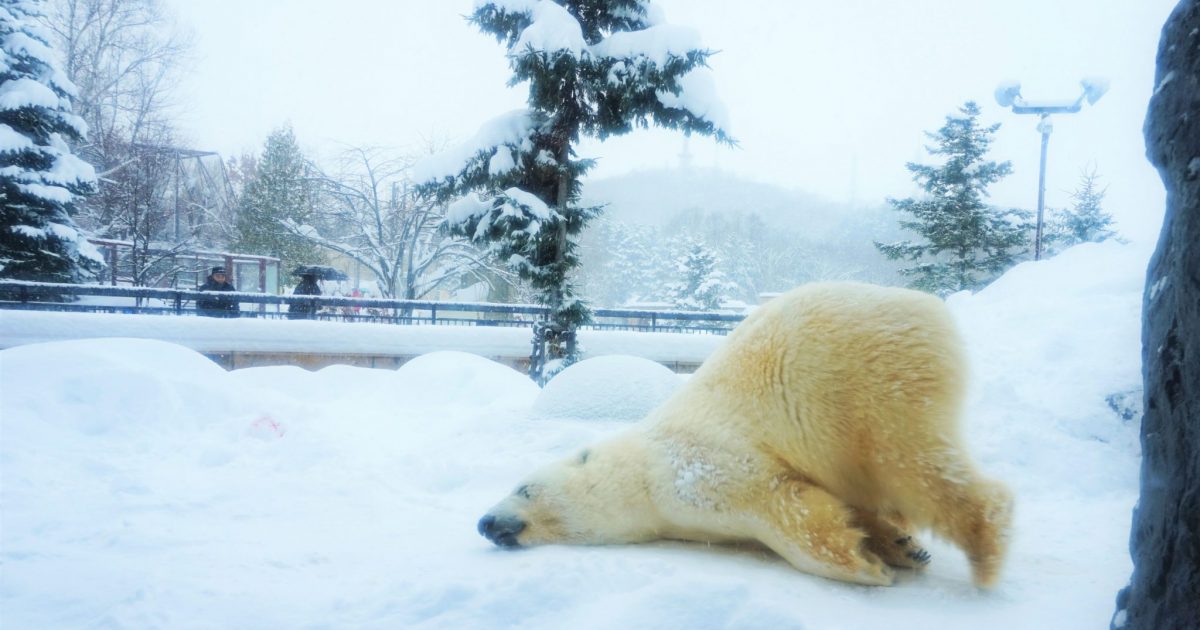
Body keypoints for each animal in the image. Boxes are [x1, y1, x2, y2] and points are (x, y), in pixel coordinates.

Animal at [477, 282, 1012, 588]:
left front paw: (865, 567)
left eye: (523, 488)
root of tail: (924, 305)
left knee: (909, 464)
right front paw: (895, 547)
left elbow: (782, 506)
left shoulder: (697, 468)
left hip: (866, 386)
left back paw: (986, 547)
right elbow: (838, 506)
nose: (484, 522)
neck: (641, 473)